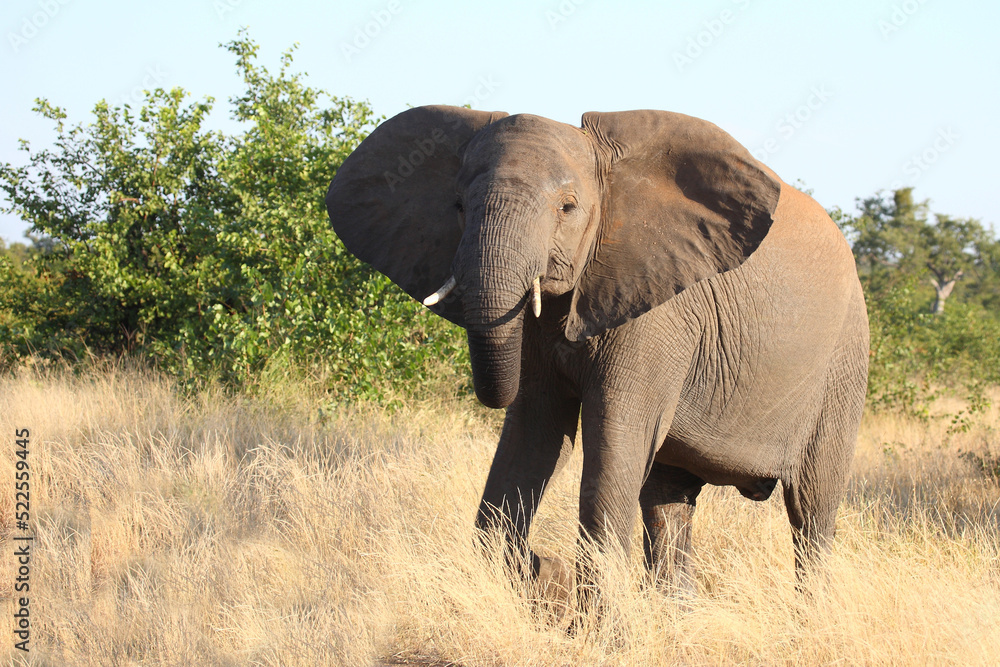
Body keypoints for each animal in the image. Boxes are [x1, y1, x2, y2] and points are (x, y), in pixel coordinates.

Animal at [326, 105, 869, 598]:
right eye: (457, 207)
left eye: (567, 207)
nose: (545, 560)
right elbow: (535, 428)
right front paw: (542, 576)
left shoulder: (658, 312)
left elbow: (614, 437)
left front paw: (582, 610)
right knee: (669, 499)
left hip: (844, 363)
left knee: (812, 508)